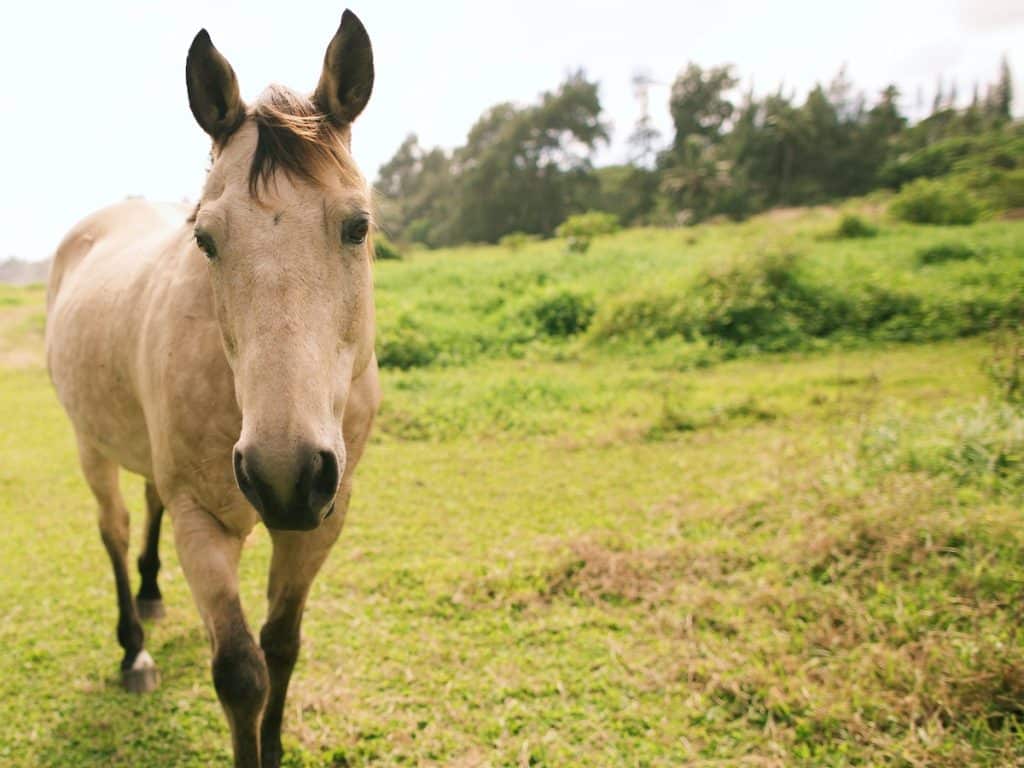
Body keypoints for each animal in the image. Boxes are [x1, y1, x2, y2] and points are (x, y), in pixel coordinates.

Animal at [44, 10, 380, 767]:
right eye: (206, 239)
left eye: (358, 225)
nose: (284, 474)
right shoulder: (201, 521)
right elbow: (240, 671)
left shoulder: (326, 516)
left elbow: (282, 645)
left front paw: (276, 746)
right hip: (88, 445)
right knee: (114, 528)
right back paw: (134, 650)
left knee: (146, 503)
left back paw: (150, 594)